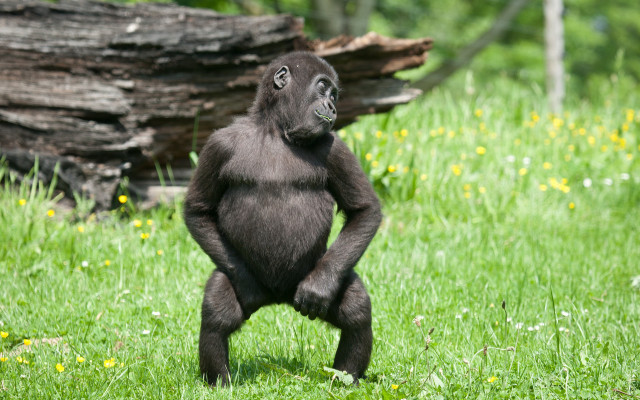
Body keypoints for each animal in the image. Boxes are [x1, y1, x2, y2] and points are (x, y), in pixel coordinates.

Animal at [183, 51, 382, 386]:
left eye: (334, 95)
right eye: (323, 88)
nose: (333, 107)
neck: (277, 130)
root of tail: (278, 297)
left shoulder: (335, 146)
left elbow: (364, 210)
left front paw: (319, 288)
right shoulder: (219, 144)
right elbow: (198, 210)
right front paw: (246, 285)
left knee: (355, 308)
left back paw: (345, 380)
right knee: (217, 310)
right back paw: (220, 382)